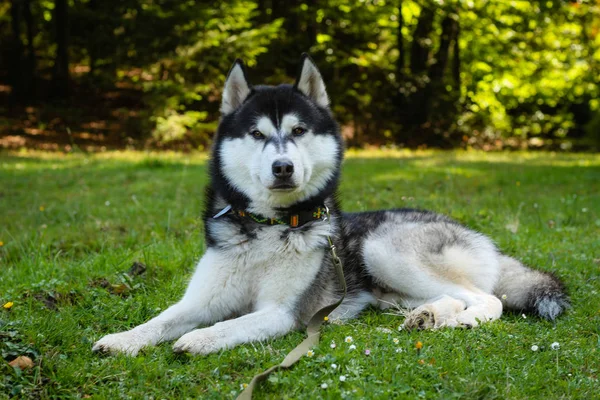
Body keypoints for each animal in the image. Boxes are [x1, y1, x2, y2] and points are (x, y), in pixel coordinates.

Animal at [92, 54, 568, 356]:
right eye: (257, 134)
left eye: (299, 130)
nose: (283, 167)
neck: (268, 227)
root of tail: (477, 236)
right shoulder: (200, 301)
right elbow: (163, 319)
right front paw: (122, 340)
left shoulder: (283, 313)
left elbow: (229, 324)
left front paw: (199, 340)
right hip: (390, 287)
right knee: (451, 297)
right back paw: (430, 315)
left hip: (384, 248)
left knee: (488, 299)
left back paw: (461, 319)